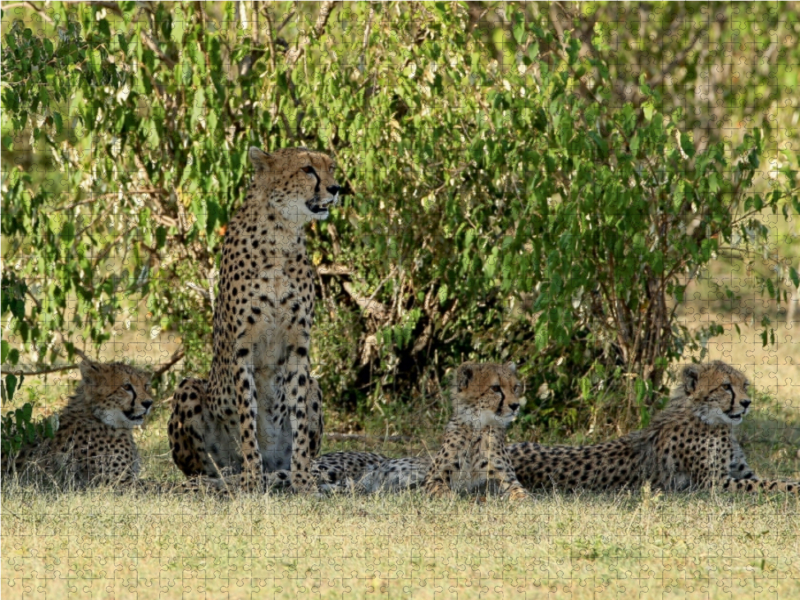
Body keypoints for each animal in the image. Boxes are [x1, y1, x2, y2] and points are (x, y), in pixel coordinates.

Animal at [13, 356, 155, 488]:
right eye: (126, 386)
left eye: (146, 386)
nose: (148, 403)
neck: (97, 416)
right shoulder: (117, 483)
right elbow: (157, 486)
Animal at [170, 144, 340, 492]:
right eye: (307, 169)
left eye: (330, 167)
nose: (336, 188)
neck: (281, 236)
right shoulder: (242, 346)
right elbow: (247, 415)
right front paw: (252, 477)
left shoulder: (298, 345)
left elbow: (298, 416)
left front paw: (302, 479)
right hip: (189, 388)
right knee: (206, 470)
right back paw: (228, 478)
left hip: (315, 385)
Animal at [424, 364, 532, 500]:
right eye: (495, 388)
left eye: (515, 388)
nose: (515, 405)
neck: (477, 428)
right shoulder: (431, 479)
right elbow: (441, 490)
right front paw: (452, 497)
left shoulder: (506, 479)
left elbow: (519, 491)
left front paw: (524, 499)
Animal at [506, 358, 800, 494]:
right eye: (726, 386)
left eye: (744, 385)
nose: (747, 403)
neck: (709, 418)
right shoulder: (713, 484)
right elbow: (774, 484)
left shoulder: (742, 474)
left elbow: (777, 480)